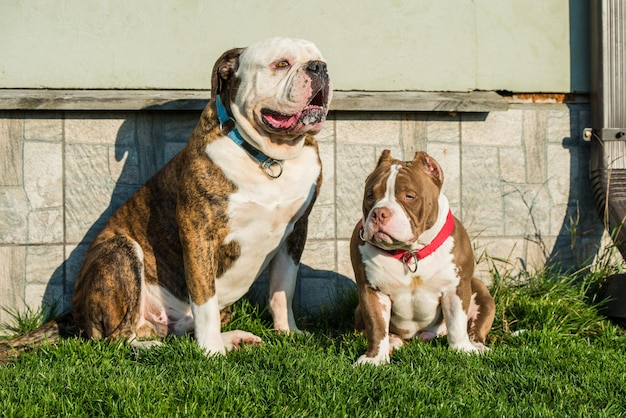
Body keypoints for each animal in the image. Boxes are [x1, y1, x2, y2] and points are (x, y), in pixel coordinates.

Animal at [69, 36, 332, 356]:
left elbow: (284, 288)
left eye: (320, 60)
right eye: (281, 64)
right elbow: (204, 298)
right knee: (117, 337)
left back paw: (232, 338)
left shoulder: (294, 232)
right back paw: (158, 347)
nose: (319, 68)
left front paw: (288, 332)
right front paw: (211, 352)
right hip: (120, 250)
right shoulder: (198, 233)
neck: (268, 158)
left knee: (182, 328)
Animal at [352, 151, 492, 366]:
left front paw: (462, 350)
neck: (409, 254)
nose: (379, 213)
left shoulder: (455, 288)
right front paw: (374, 359)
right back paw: (393, 342)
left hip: (480, 290)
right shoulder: (371, 291)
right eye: (370, 196)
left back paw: (477, 346)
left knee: (474, 327)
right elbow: (376, 327)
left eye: (409, 196)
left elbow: (457, 323)